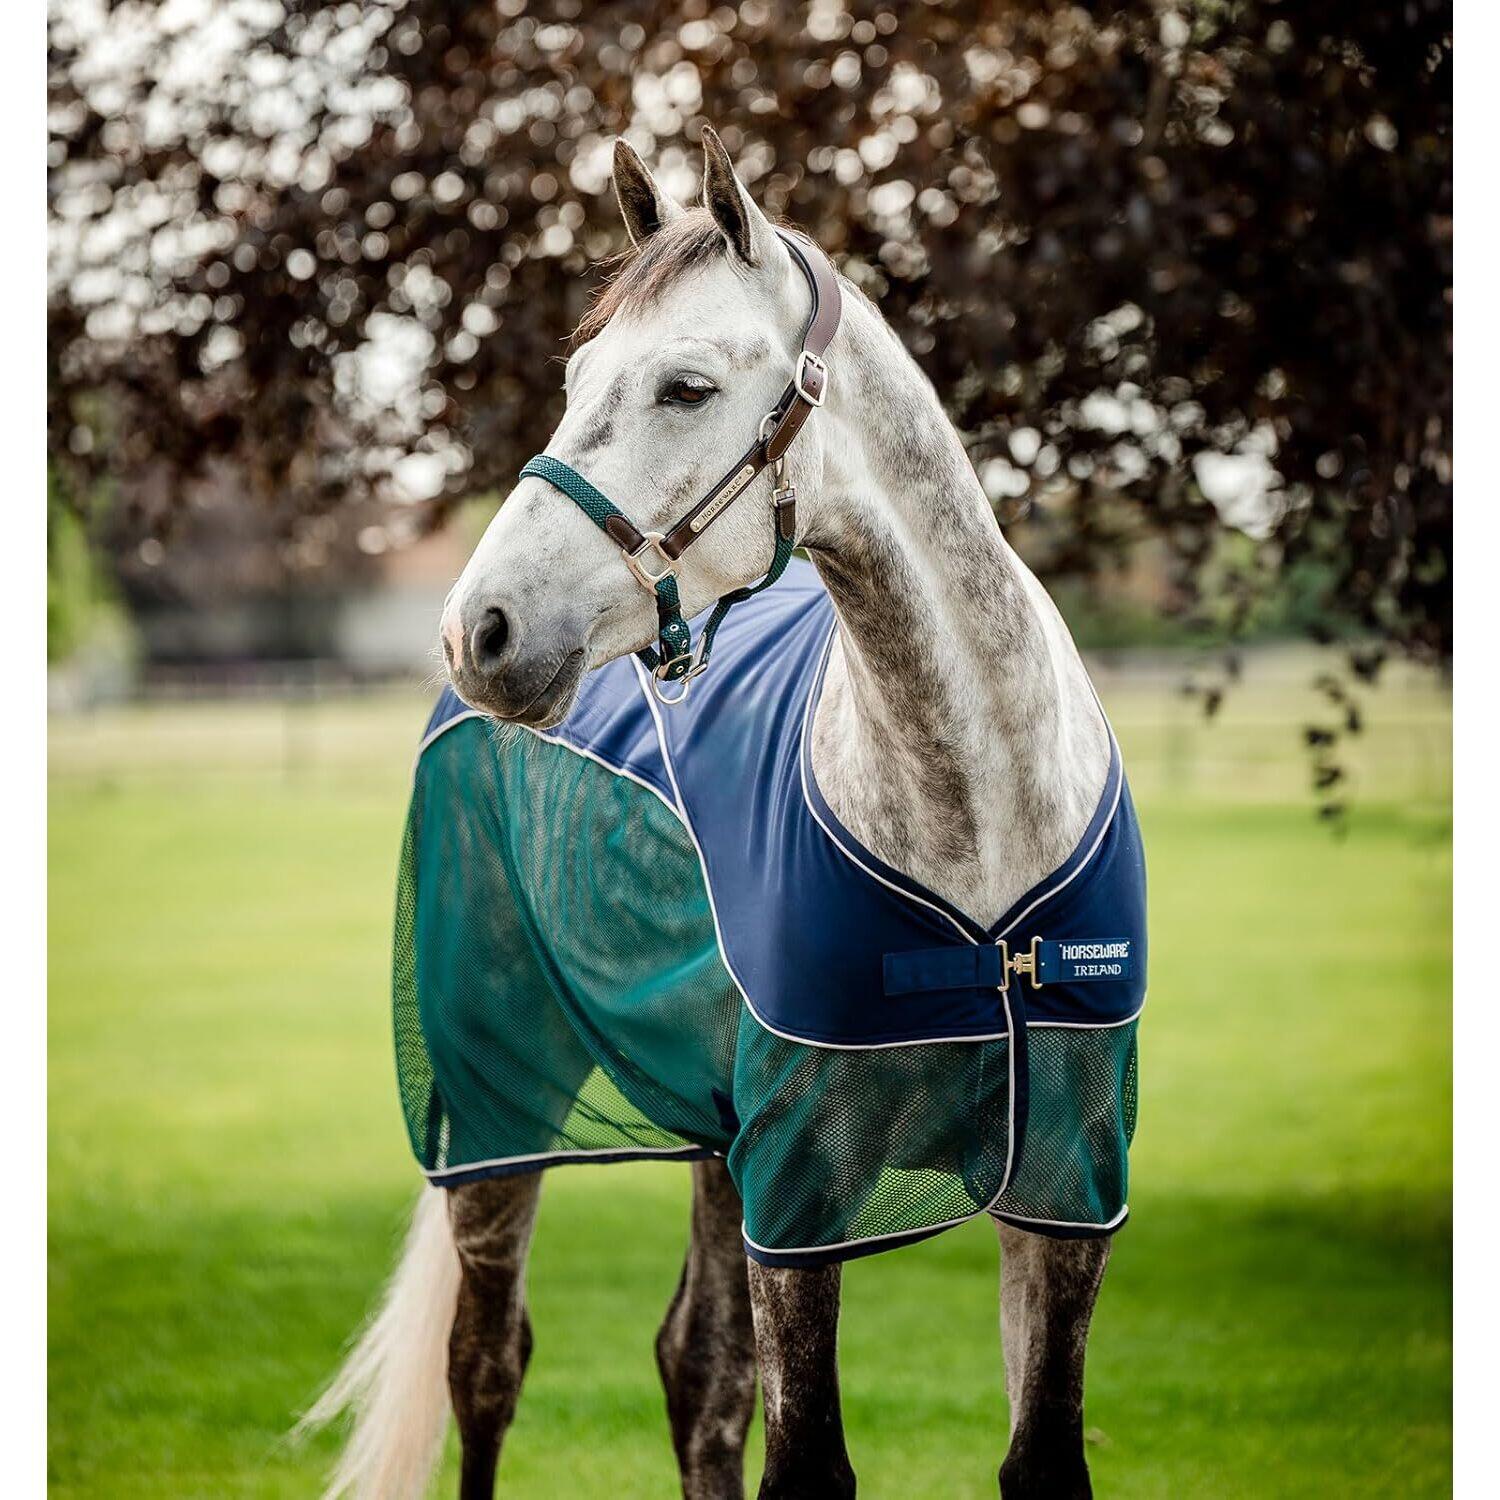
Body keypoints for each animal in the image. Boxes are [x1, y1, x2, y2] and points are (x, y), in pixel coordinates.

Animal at [306, 126, 1144, 1500]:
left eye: (687, 388)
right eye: (578, 375)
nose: (482, 628)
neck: (977, 834)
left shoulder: (1063, 1198)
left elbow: (1036, 1458)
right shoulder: (800, 1200)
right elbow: (802, 1461)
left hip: (710, 1142)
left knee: (693, 1374)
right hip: (499, 1119)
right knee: (488, 1366)